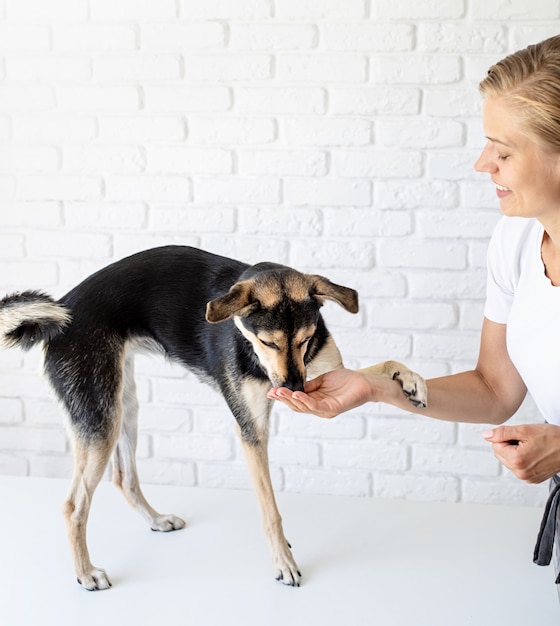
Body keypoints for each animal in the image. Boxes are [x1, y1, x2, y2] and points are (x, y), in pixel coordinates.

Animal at [0, 245, 428, 588]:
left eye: (306, 339)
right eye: (268, 342)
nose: (296, 389)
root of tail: (63, 311)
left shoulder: (328, 372)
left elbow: (381, 367)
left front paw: (411, 380)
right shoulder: (252, 430)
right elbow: (270, 509)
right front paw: (283, 561)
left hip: (123, 403)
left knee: (124, 477)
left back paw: (156, 520)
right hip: (99, 413)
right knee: (74, 506)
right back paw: (86, 573)